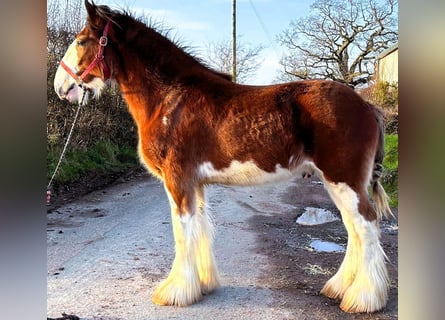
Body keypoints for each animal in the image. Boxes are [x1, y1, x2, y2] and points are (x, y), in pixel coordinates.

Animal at [53, 1, 392, 314]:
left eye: (81, 42)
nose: (60, 86)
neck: (170, 98)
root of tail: (367, 107)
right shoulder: (195, 183)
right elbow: (200, 227)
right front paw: (202, 284)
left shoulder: (178, 181)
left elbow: (182, 232)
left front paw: (175, 292)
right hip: (337, 183)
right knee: (353, 229)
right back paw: (339, 287)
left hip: (343, 180)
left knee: (366, 226)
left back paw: (363, 299)